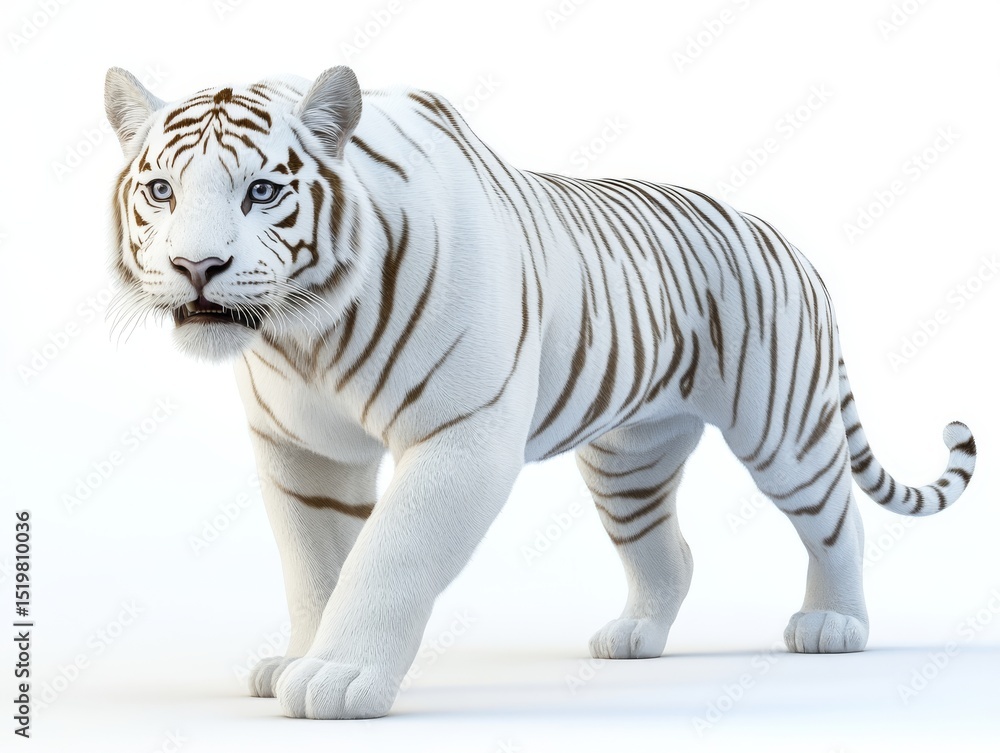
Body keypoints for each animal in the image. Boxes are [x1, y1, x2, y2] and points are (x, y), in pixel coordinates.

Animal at [105, 65, 977, 720]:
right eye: (160, 191)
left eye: (260, 191)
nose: (196, 266)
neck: (307, 331)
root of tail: (789, 241)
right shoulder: (302, 453)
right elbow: (314, 567)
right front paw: (298, 657)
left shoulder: (461, 436)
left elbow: (388, 554)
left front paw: (337, 676)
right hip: (630, 459)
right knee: (670, 553)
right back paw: (632, 637)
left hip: (783, 428)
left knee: (838, 520)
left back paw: (834, 622)